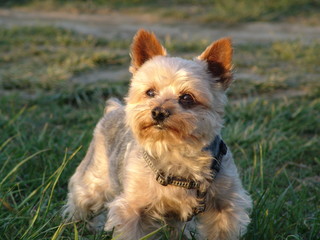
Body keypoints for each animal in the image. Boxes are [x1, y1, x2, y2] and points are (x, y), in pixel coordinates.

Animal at [63, 29, 252, 239]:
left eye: (187, 97)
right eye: (150, 92)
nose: (158, 112)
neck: (174, 150)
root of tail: (114, 109)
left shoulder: (226, 205)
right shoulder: (132, 209)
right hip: (94, 180)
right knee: (82, 200)